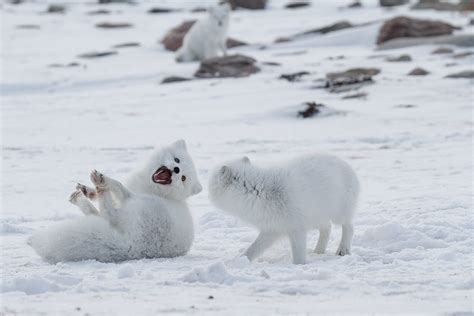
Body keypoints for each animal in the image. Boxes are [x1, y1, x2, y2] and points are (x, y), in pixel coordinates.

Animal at [30, 139, 202, 262]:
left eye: (183, 178)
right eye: (177, 160)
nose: (176, 170)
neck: (151, 188)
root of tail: (132, 248)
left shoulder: (129, 194)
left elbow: (118, 186)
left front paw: (102, 182)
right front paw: (89, 191)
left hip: (139, 204)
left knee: (109, 214)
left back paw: (98, 183)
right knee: (101, 215)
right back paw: (83, 195)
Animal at [207, 153, 360, 264]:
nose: (207, 194)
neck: (258, 192)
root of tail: (346, 164)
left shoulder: (296, 228)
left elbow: (298, 255)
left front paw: (300, 266)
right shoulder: (271, 229)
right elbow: (253, 249)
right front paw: (238, 261)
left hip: (339, 214)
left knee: (349, 228)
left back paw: (343, 250)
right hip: (317, 216)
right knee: (327, 229)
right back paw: (318, 251)